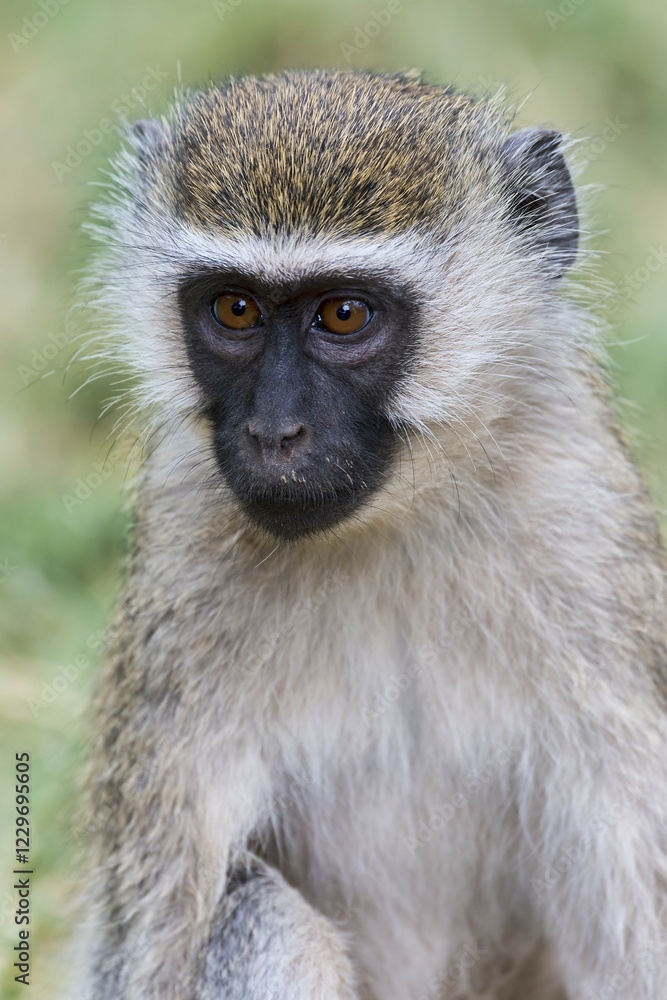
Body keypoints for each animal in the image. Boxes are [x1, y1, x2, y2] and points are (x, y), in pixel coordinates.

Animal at [70, 69, 667, 1000]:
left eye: (345, 315)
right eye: (234, 309)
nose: (274, 431)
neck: (396, 519)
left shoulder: (585, 528)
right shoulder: (181, 545)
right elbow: (154, 937)